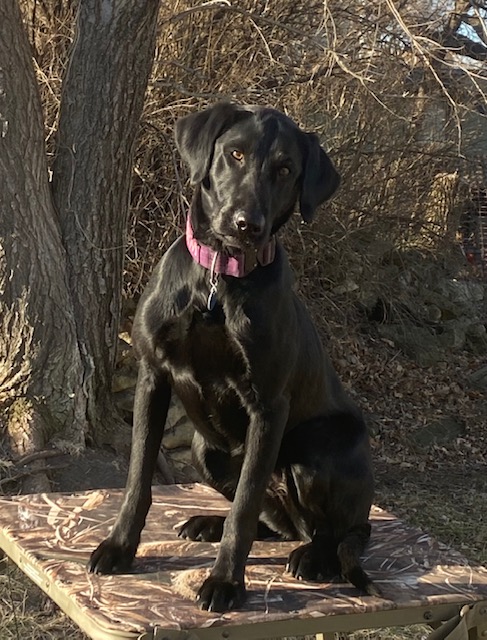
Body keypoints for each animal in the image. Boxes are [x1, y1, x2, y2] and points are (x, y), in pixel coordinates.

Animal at [89, 102, 380, 612]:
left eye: (285, 169)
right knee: (281, 524)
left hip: (316, 452)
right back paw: (209, 523)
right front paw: (120, 547)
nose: (248, 224)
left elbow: (243, 508)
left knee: (333, 531)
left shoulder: (268, 407)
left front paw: (226, 582)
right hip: (206, 449)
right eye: (235, 153)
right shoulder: (153, 376)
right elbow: (138, 478)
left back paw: (314, 559)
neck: (219, 280)